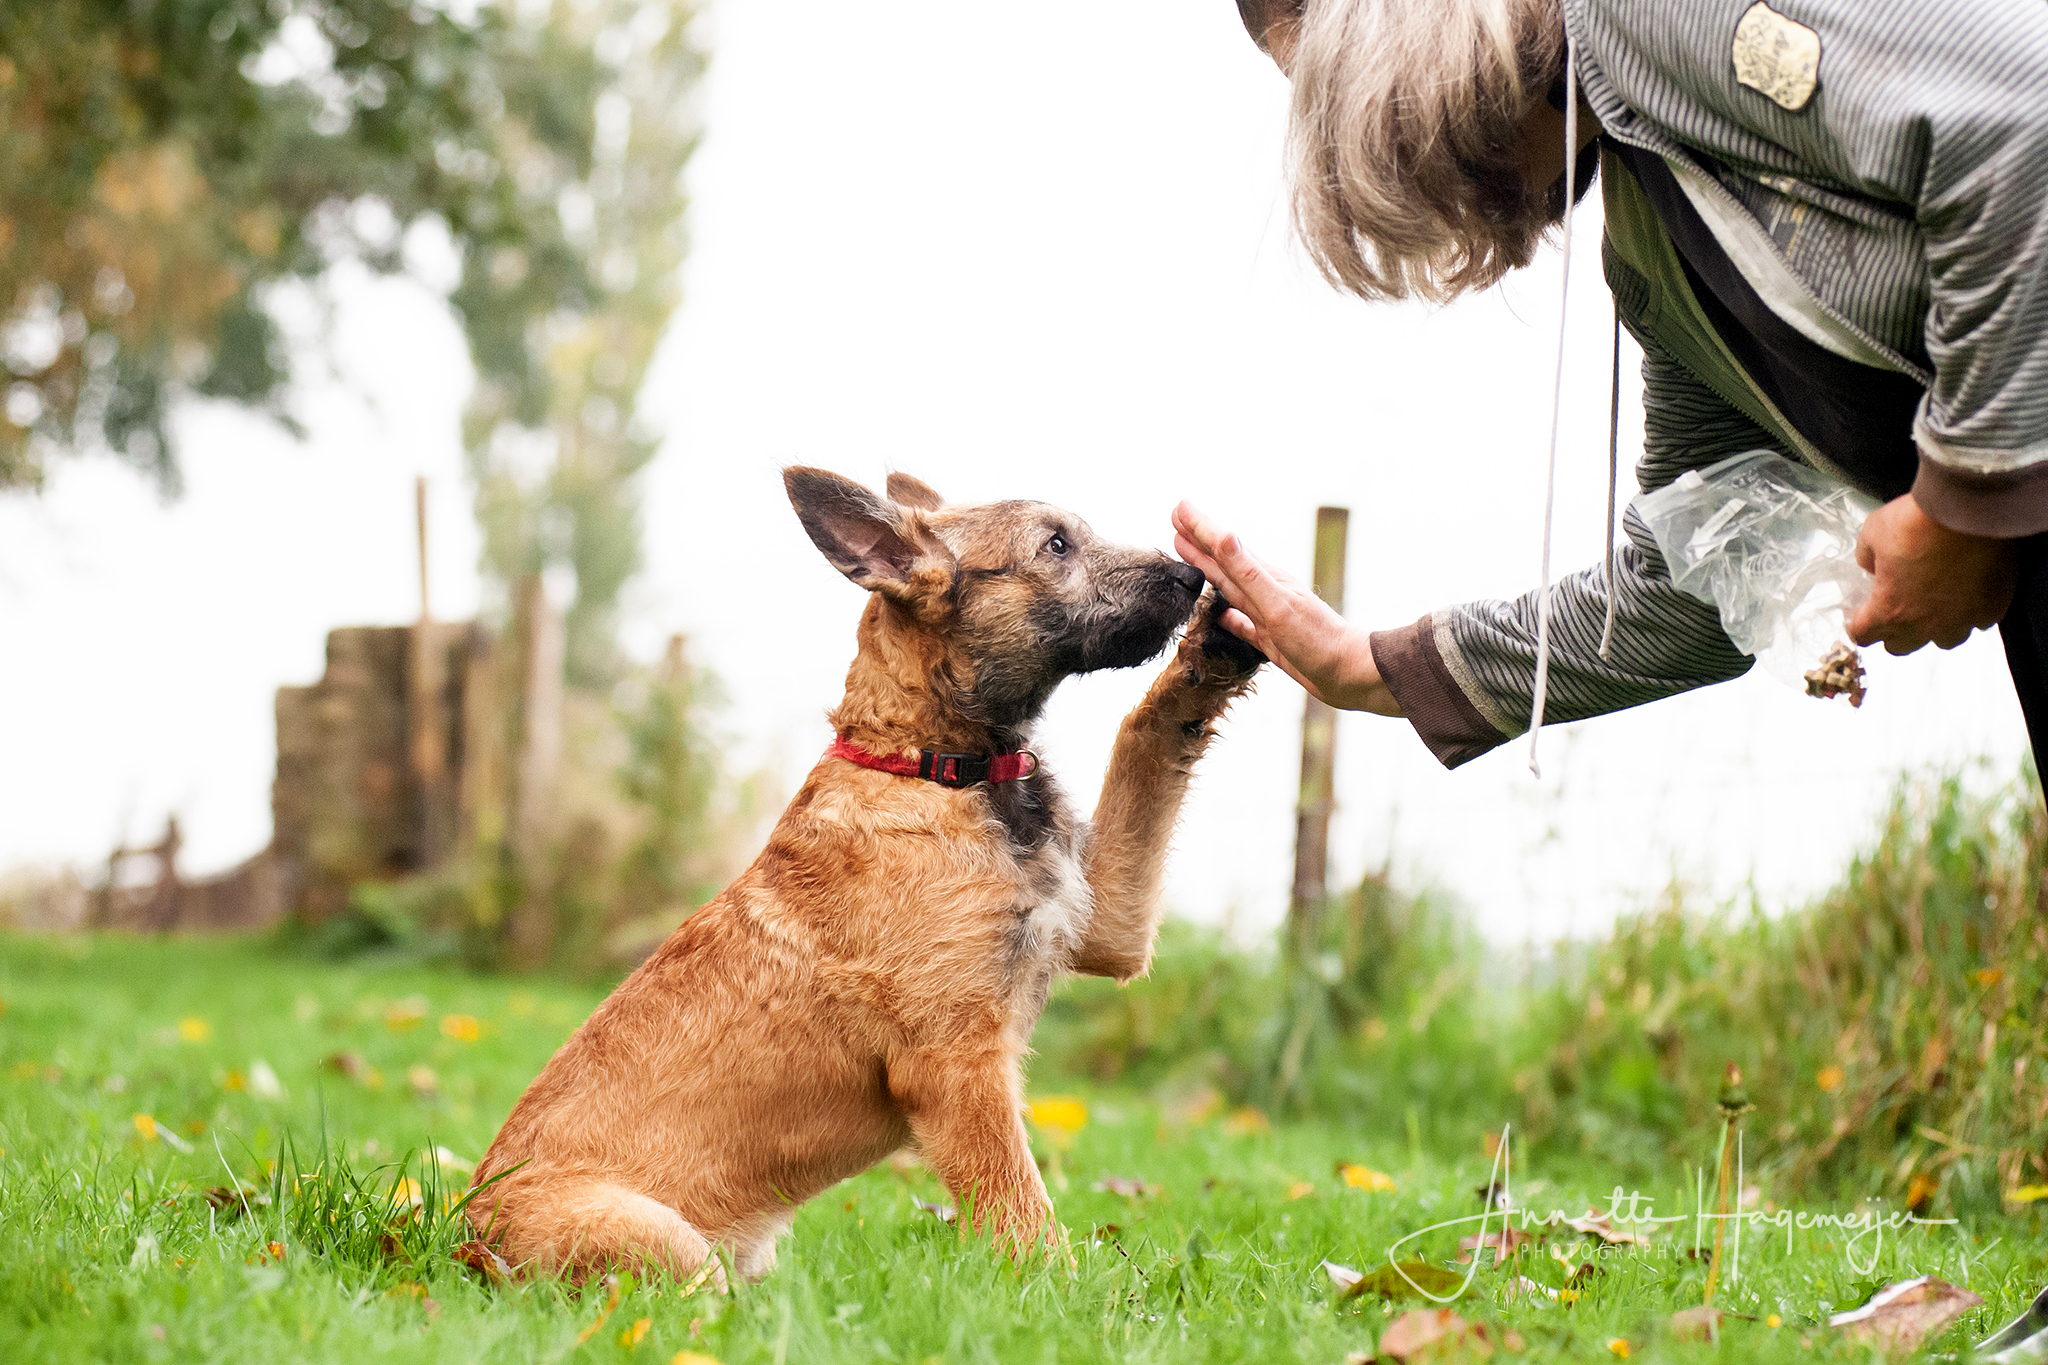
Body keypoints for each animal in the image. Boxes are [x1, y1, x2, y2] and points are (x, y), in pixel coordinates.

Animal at [467, 467, 1263, 1282]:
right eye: (1056, 545)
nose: (1190, 576)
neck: (930, 766)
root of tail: (468, 1234)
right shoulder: (955, 1065)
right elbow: (1024, 1211)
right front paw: (1073, 1293)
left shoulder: (1109, 926)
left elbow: (1146, 737)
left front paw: (1214, 648)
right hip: (665, 1244)